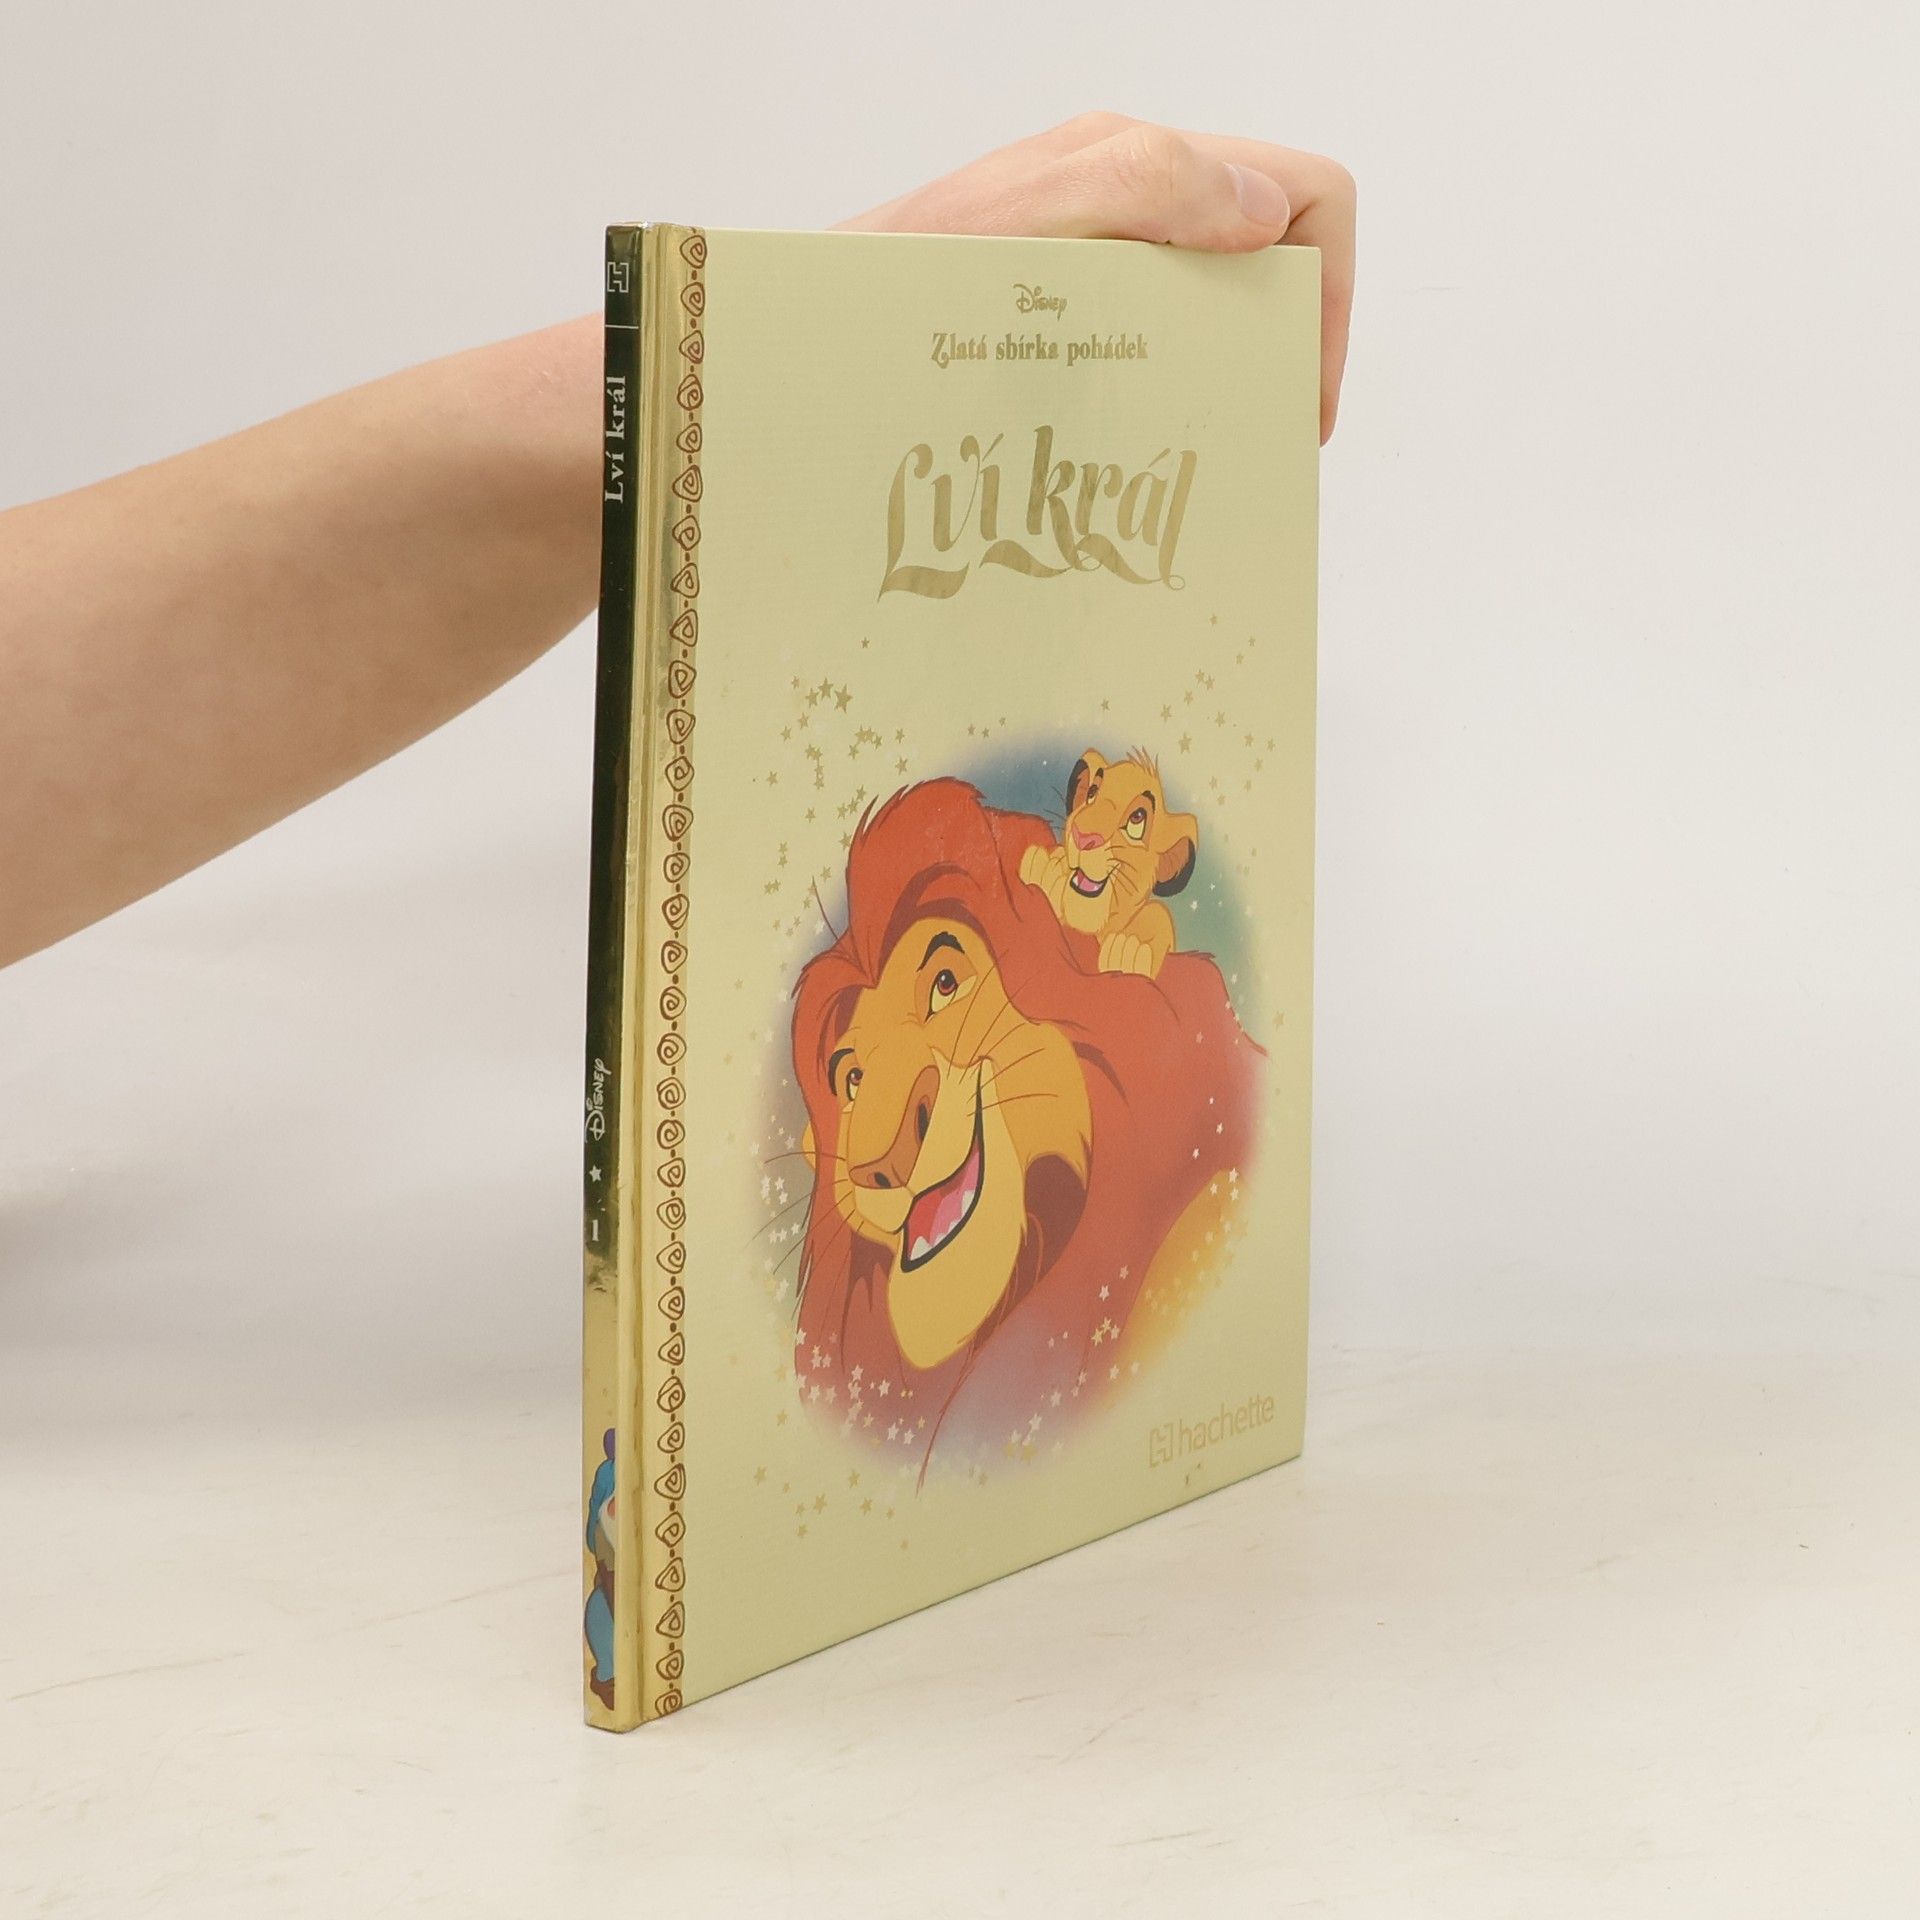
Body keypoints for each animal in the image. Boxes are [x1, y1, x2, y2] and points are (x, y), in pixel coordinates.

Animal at [1018, 748, 1198, 978]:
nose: (1083, 836)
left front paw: (1132, 947)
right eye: (1092, 793)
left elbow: (1158, 911)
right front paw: (1049, 866)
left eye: (1137, 818)